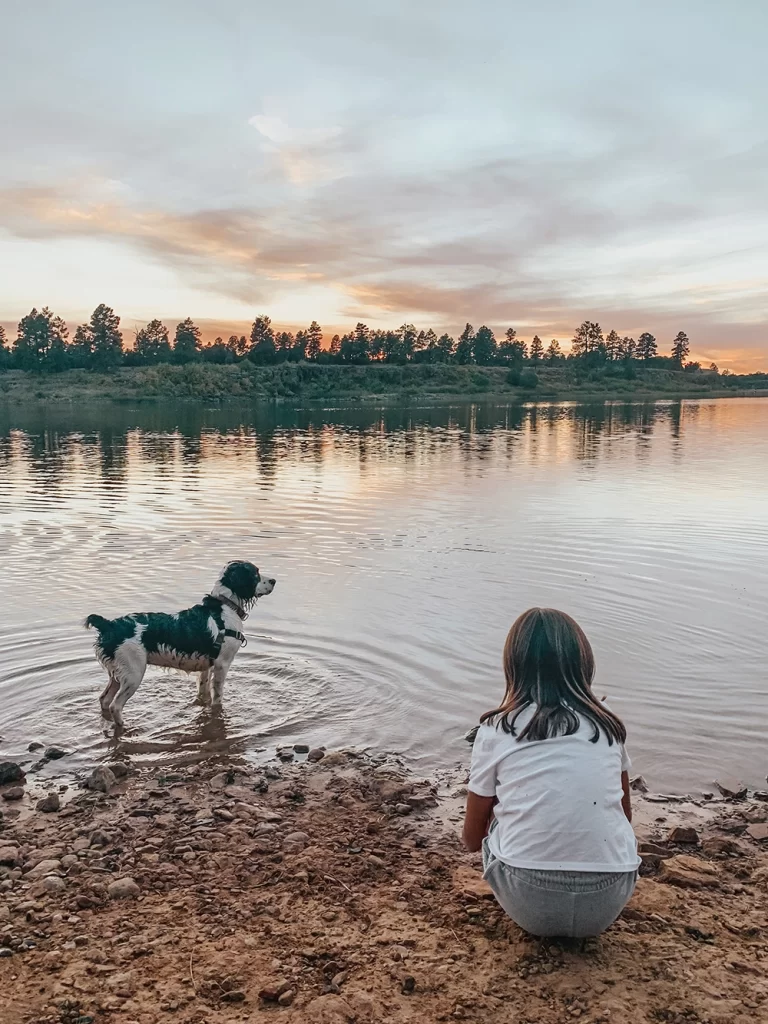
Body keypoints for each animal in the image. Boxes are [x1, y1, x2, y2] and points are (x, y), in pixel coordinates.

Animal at [85, 561, 276, 729]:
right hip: (134, 674)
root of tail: (109, 625)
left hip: (118, 674)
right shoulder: (222, 664)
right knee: (115, 706)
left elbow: (203, 692)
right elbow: (218, 698)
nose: (274, 581)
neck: (224, 608)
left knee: (104, 700)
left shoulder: (207, 667)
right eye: (255, 573)